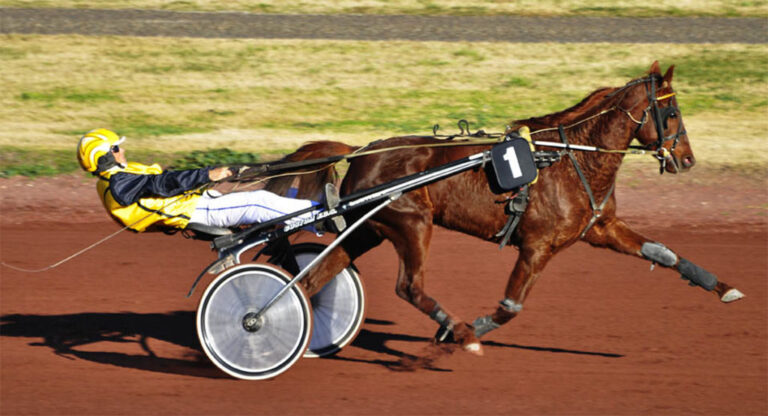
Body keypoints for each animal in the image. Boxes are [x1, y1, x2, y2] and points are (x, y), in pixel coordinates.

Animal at [264, 61, 744, 354]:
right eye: (674, 113)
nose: (687, 160)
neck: (568, 158)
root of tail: (362, 150)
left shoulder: (599, 228)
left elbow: (664, 253)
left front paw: (721, 287)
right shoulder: (537, 246)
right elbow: (511, 306)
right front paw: (466, 331)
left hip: (370, 228)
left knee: (317, 278)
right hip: (412, 222)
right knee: (409, 287)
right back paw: (457, 328)